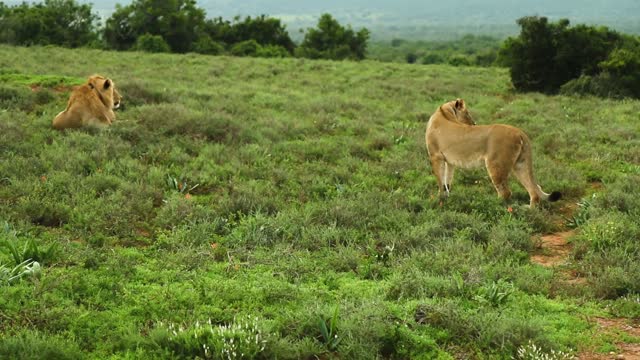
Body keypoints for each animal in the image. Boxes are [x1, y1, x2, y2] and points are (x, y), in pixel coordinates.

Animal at [424, 99, 560, 208]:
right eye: (467, 113)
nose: (474, 124)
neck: (444, 112)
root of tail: (520, 132)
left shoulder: (435, 156)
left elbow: (440, 181)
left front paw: (439, 200)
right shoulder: (449, 162)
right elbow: (447, 181)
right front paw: (447, 197)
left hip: (496, 164)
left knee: (506, 192)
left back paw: (492, 205)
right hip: (520, 165)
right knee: (534, 190)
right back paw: (528, 209)